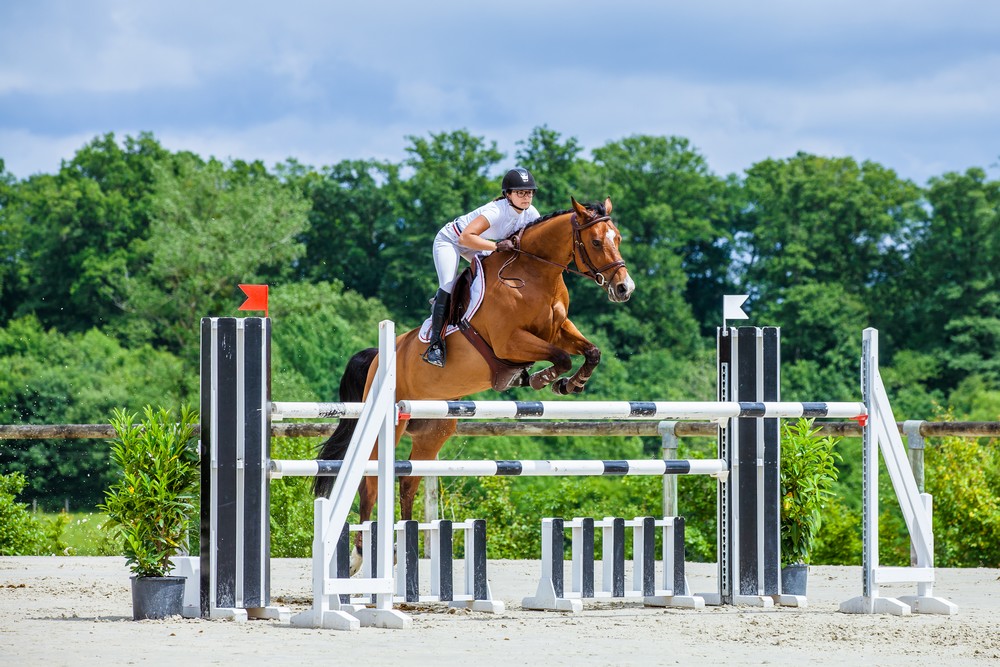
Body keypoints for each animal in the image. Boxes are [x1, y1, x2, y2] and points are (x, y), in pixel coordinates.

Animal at [314, 197, 635, 571]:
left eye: (618, 238)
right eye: (596, 242)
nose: (624, 289)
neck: (534, 276)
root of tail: (379, 356)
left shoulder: (558, 331)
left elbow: (591, 352)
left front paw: (571, 384)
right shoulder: (510, 342)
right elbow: (561, 358)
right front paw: (542, 378)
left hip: (433, 432)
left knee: (407, 481)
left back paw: (403, 548)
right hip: (388, 425)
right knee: (370, 483)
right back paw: (361, 554)